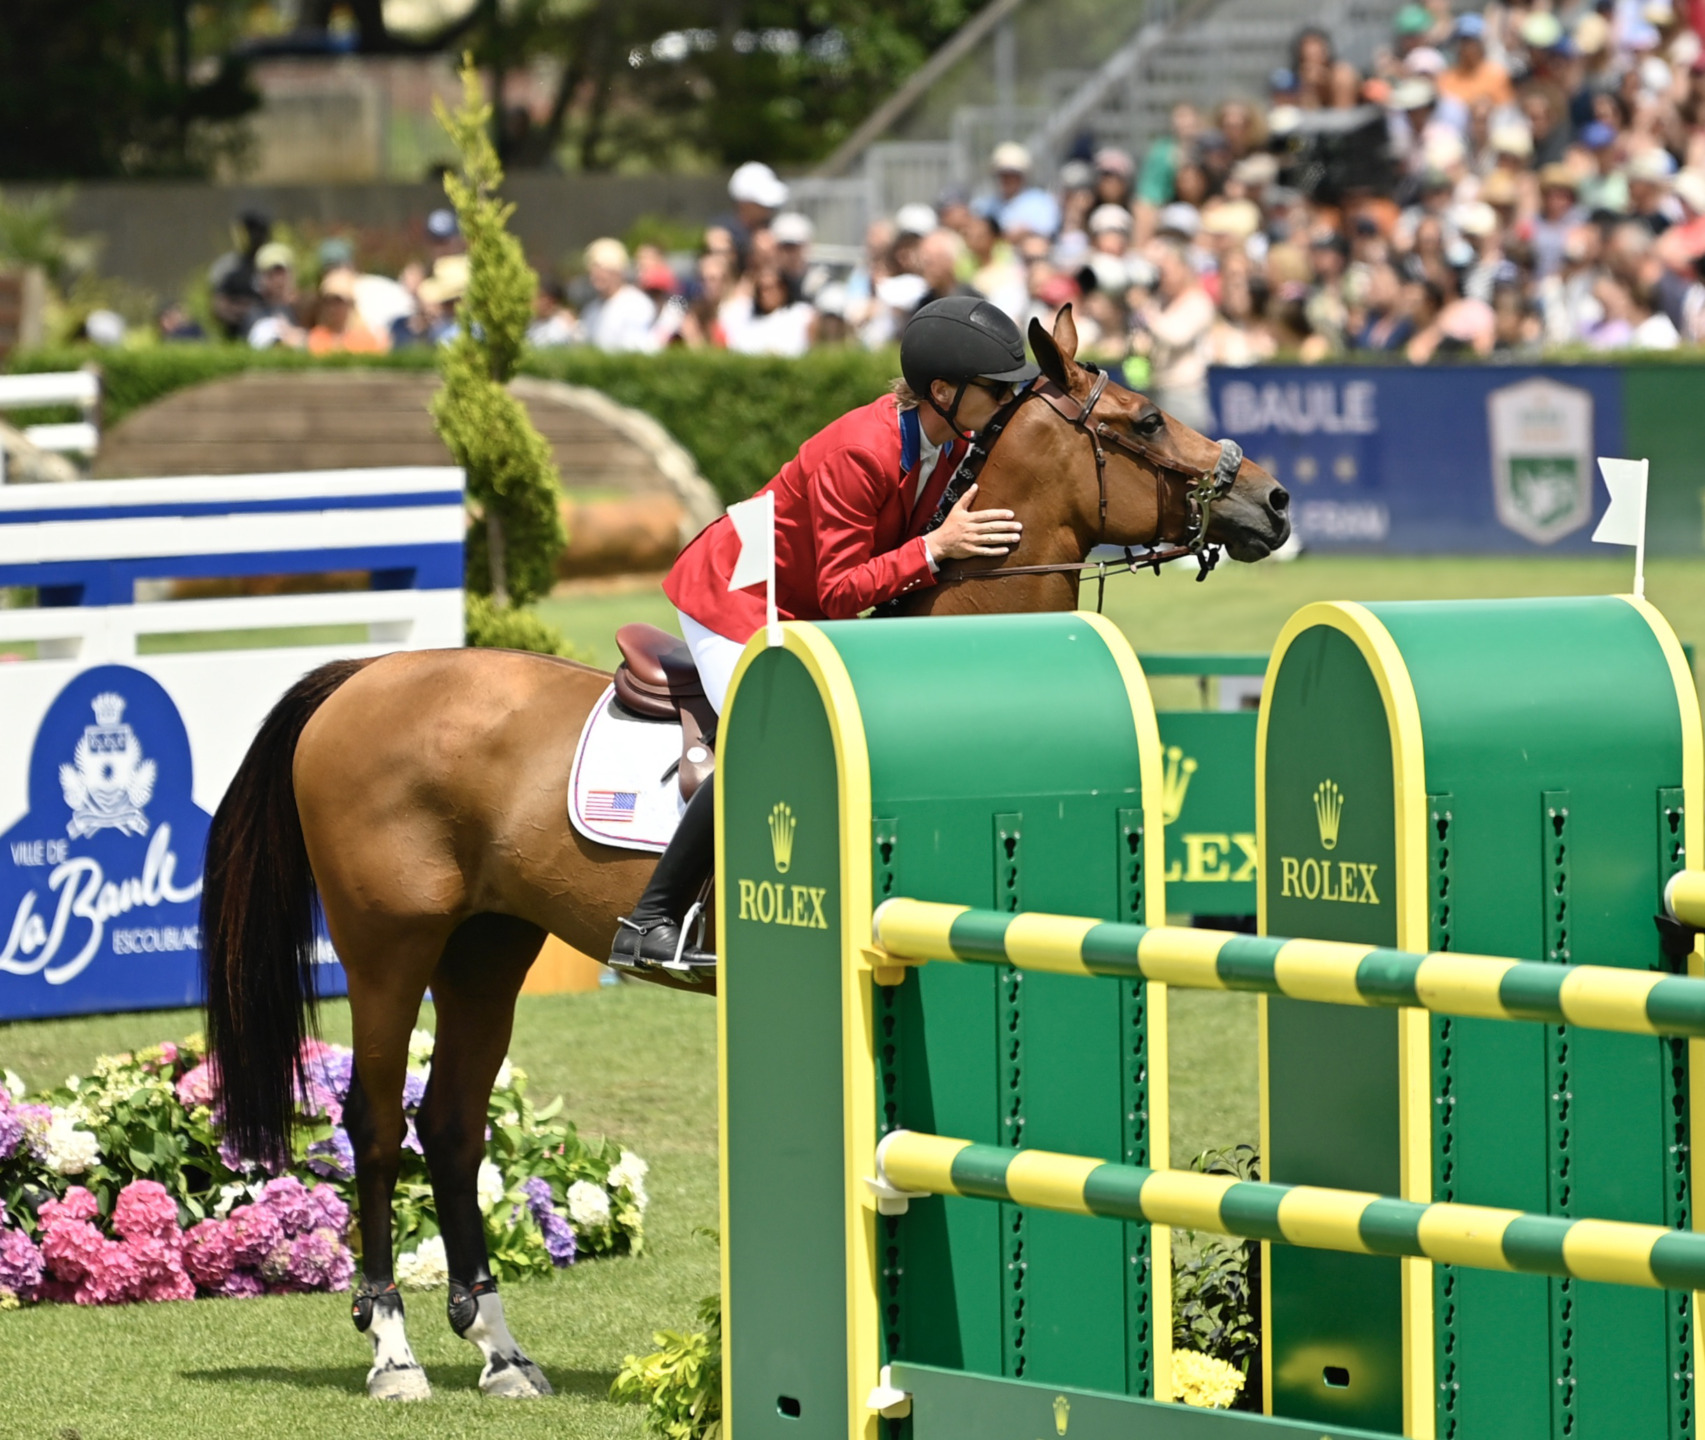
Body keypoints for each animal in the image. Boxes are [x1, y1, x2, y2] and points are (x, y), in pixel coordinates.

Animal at [202, 306, 1288, 1390]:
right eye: (1144, 420)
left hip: (488, 942)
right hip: (388, 941)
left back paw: (500, 1348)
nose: (1272, 503)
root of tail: (359, 678)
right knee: (378, 1126)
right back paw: (393, 1350)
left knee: (452, 1123)